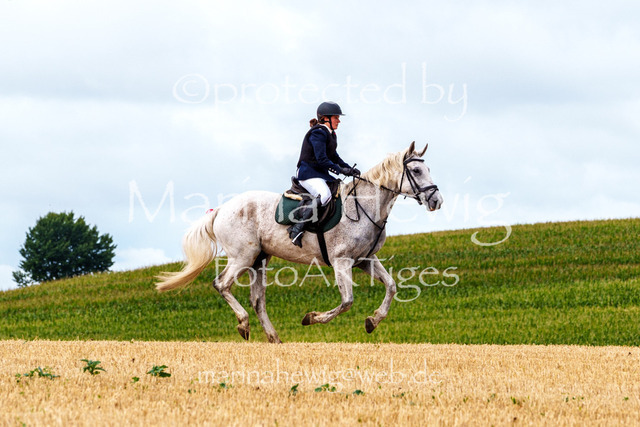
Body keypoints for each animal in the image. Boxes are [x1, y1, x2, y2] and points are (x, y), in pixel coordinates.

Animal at [156, 141, 443, 343]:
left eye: (429, 169)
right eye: (416, 170)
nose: (436, 201)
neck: (365, 207)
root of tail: (221, 209)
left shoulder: (365, 260)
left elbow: (391, 286)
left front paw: (373, 321)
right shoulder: (341, 262)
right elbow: (347, 301)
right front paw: (311, 318)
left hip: (260, 259)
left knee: (257, 300)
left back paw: (274, 339)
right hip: (243, 256)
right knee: (222, 284)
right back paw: (243, 324)